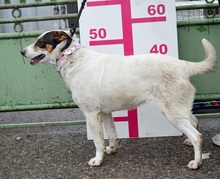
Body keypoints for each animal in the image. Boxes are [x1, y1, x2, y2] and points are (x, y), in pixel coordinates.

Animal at [20, 30, 217, 169]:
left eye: (40, 43)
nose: (22, 51)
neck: (71, 57)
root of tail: (183, 65)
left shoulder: (91, 114)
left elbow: (98, 141)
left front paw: (98, 160)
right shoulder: (105, 113)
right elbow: (112, 134)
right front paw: (112, 150)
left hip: (172, 113)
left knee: (197, 135)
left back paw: (196, 162)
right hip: (178, 109)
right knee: (195, 121)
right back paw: (190, 145)